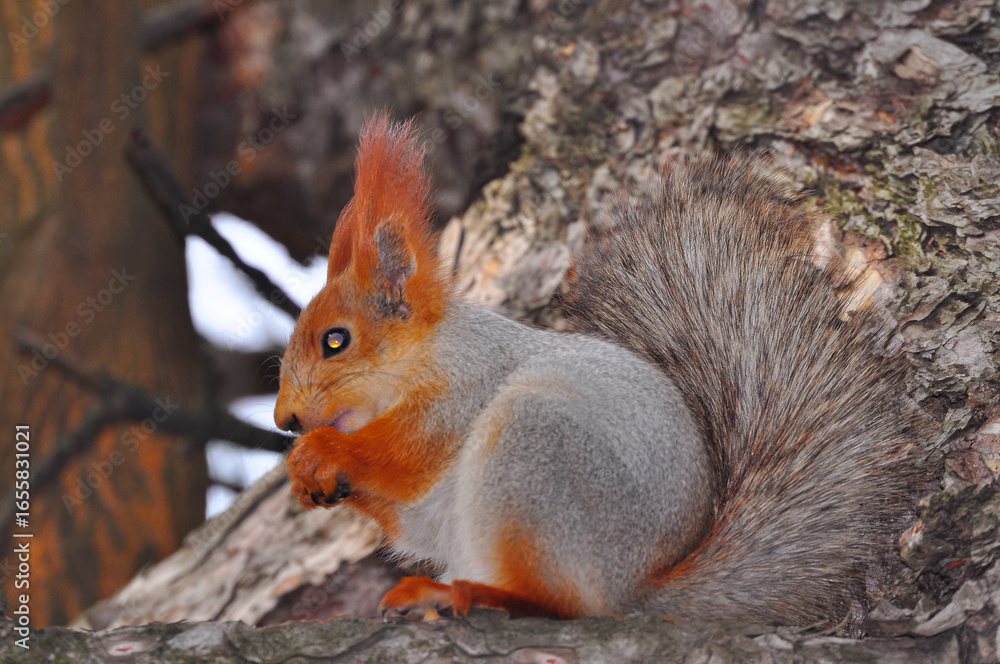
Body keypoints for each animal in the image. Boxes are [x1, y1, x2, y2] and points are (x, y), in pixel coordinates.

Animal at [273, 114, 929, 631]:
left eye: (336, 341)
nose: (286, 421)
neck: (421, 357)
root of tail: (632, 590)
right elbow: (404, 513)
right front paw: (309, 478)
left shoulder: (462, 389)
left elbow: (405, 455)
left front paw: (321, 451)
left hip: (535, 457)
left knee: (561, 605)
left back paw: (465, 594)